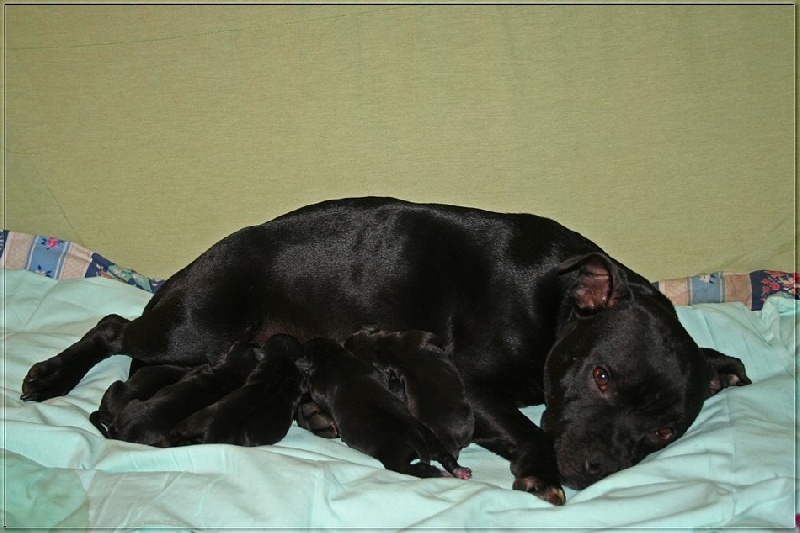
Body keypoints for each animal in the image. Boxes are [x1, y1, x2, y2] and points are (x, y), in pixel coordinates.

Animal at [300, 337, 462, 479]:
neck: (333, 357)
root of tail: (415, 437)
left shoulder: (318, 386)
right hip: (430, 437)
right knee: (444, 455)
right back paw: (458, 470)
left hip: (395, 456)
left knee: (412, 468)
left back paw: (443, 473)